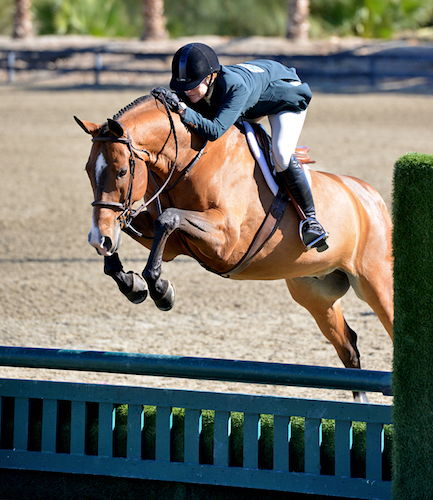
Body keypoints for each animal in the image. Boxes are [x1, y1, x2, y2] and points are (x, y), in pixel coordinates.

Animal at [74, 93, 392, 398]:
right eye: (88, 170)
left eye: (120, 172)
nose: (98, 239)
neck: (191, 160)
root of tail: (370, 196)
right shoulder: (172, 242)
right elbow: (135, 230)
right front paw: (131, 283)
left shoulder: (226, 242)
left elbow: (169, 218)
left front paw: (161, 290)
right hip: (315, 293)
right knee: (348, 348)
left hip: (376, 285)